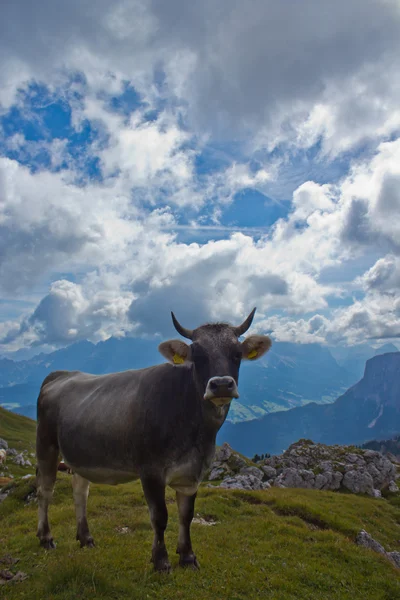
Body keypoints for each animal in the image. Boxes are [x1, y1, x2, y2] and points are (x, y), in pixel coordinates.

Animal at [36, 310, 272, 572]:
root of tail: (61, 374)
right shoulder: (150, 470)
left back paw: (85, 538)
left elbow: (186, 515)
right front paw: (161, 561)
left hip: (81, 453)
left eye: (237, 353)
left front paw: (188, 557)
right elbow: (160, 517)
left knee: (80, 490)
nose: (221, 384)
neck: (196, 434)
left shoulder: (192, 473)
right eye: (197, 355)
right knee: (45, 490)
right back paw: (46, 538)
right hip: (46, 444)